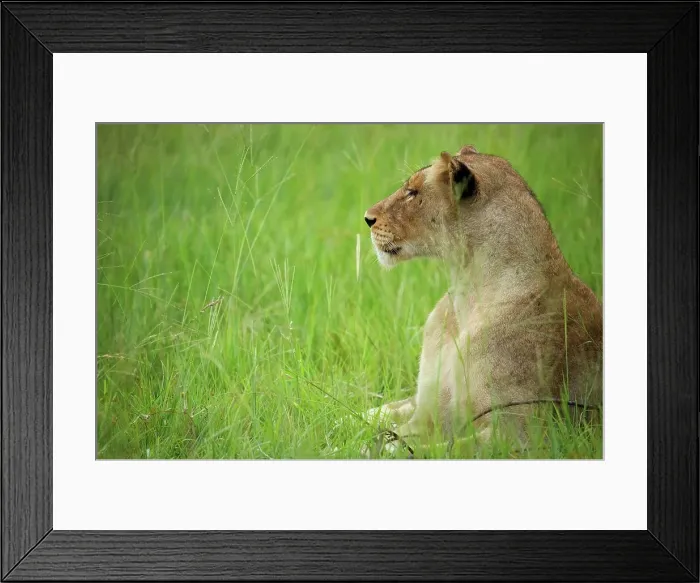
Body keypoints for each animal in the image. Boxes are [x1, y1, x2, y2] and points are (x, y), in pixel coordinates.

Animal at [362, 145, 602, 455]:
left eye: (412, 192)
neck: (465, 295)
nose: (367, 218)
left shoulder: (525, 432)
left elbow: (444, 448)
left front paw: (381, 448)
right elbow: (372, 412)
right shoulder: (426, 403)